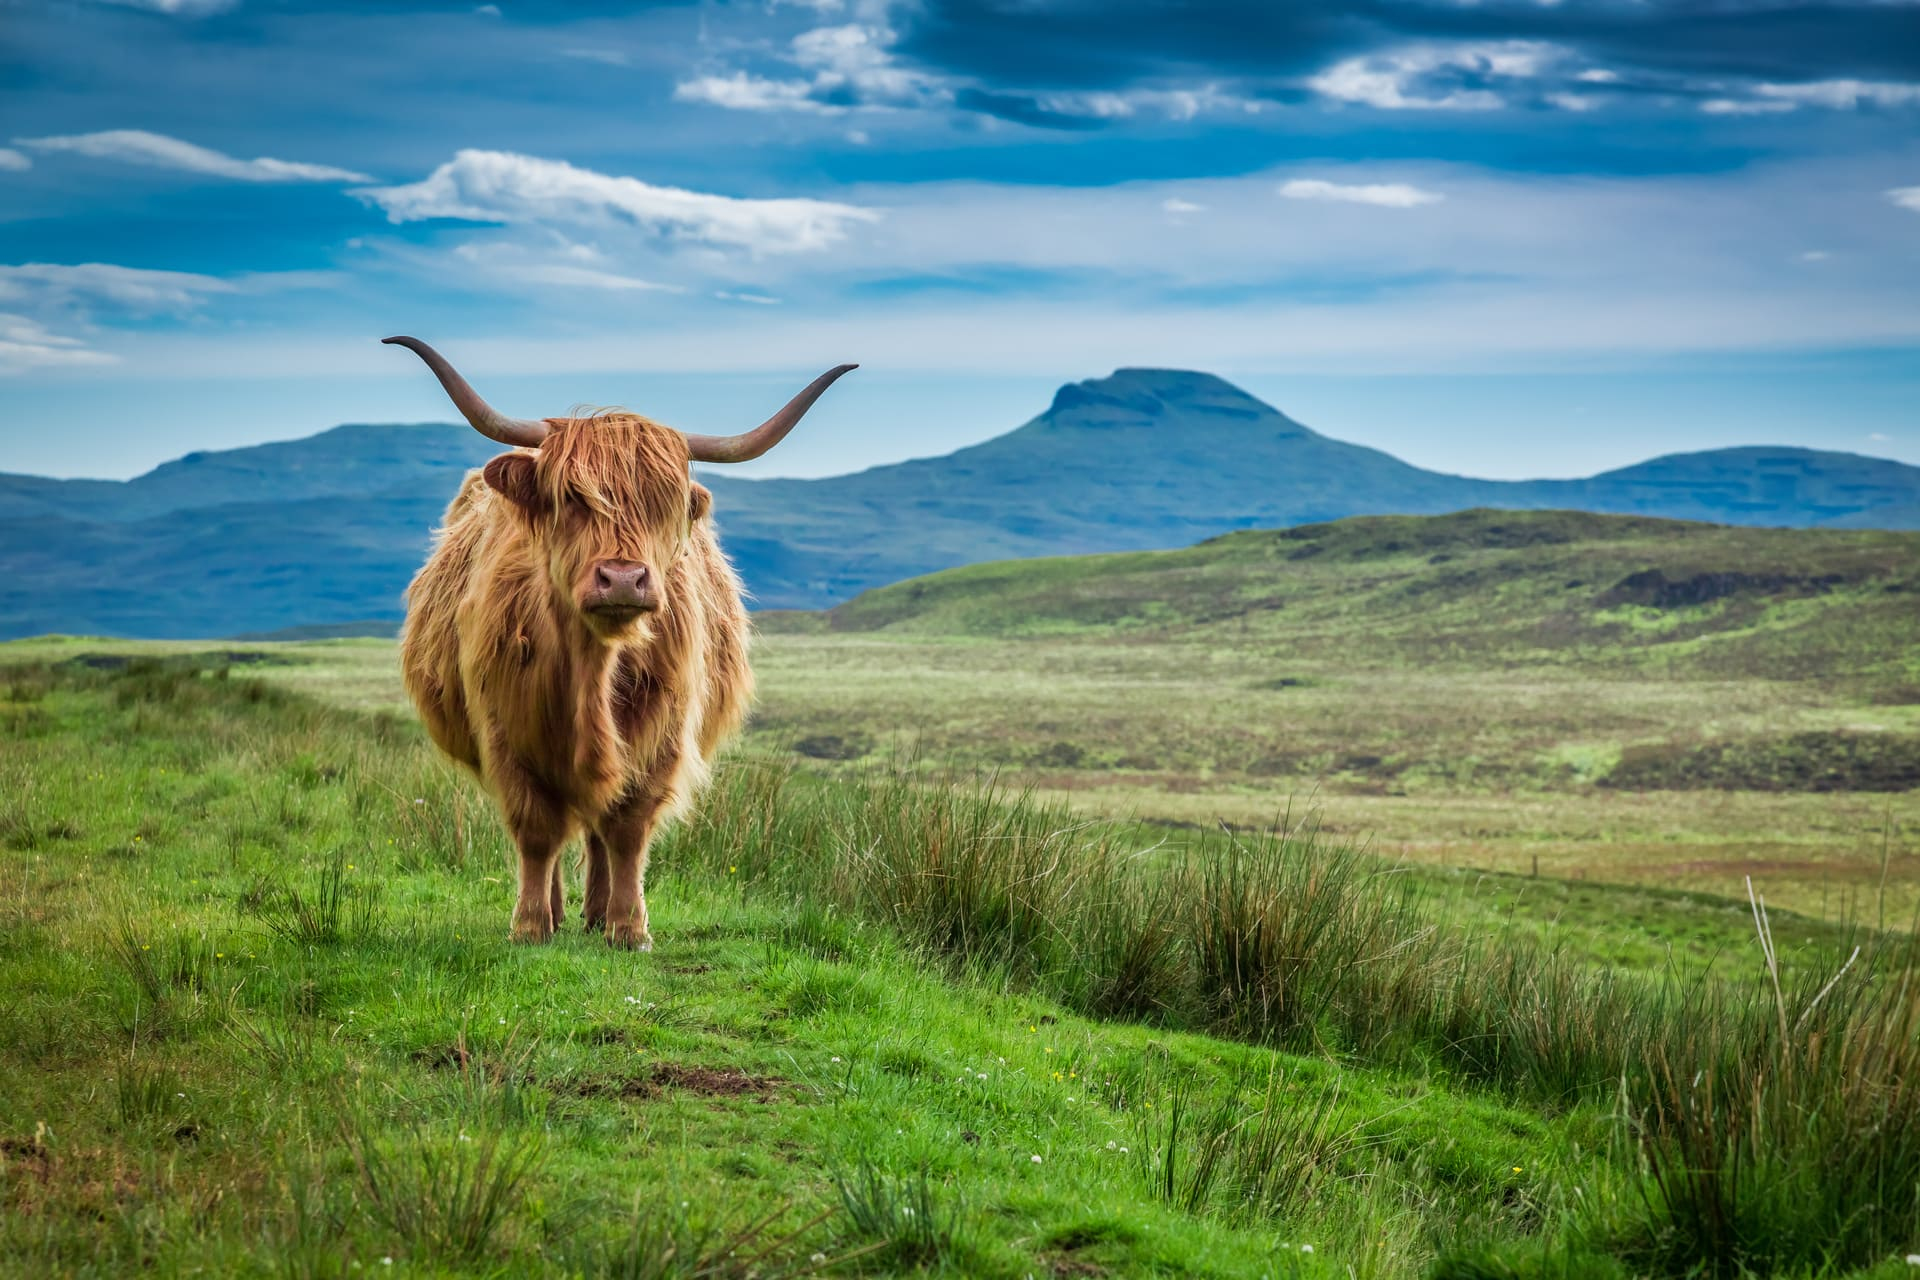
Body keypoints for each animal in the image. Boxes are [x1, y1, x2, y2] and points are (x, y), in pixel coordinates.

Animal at [385, 337, 852, 951]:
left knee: (598, 831)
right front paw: (530, 925)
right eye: (571, 498)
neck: (593, 670)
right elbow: (537, 831)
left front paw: (629, 928)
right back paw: (560, 910)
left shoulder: (662, 735)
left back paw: (596, 912)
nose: (625, 579)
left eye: (663, 504)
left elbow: (627, 828)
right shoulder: (505, 731)